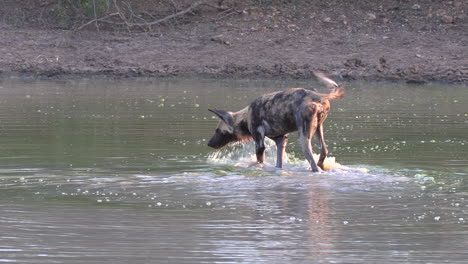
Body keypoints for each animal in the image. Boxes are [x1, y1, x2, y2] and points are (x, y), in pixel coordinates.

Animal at [208, 72, 344, 172]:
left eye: (217, 130)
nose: (209, 143)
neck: (245, 117)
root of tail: (318, 95)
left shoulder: (259, 144)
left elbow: (259, 162)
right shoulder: (281, 140)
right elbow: (279, 164)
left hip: (304, 138)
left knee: (312, 161)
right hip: (318, 129)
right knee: (324, 151)